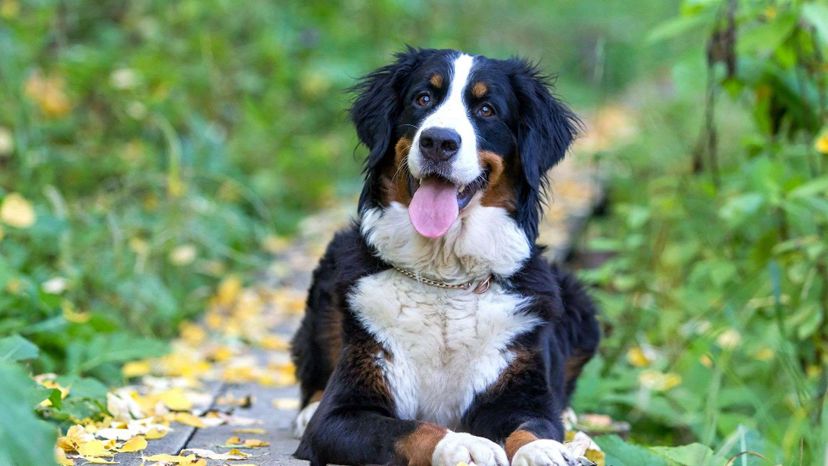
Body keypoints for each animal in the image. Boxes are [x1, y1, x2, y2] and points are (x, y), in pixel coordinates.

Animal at [288, 46, 600, 466]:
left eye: (486, 109)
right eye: (423, 98)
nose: (438, 141)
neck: (444, 278)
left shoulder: (519, 390)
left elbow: (531, 426)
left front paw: (546, 450)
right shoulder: (342, 413)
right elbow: (410, 428)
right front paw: (464, 444)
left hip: (579, 304)